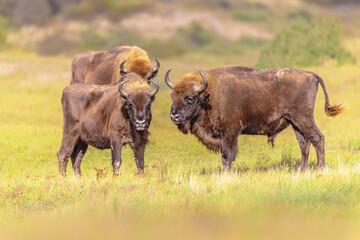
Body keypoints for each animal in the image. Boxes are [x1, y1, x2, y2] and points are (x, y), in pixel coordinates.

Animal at [165, 65, 344, 171]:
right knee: (304, 144)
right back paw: (301, 171)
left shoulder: (230, 133)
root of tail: (310, 74)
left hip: (304, 119)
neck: (209, 95)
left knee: (318, 139)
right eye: (172, 96)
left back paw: (320, 169)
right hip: (295, 123)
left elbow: (227, 156)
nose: (174, 114)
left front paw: (225, 175)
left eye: (190, 98)